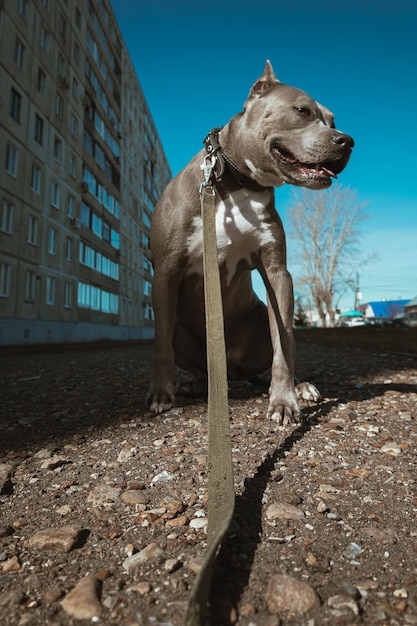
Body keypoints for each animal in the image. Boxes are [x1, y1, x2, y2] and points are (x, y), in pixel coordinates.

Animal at [145, 61, 352, 422]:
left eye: (333, 121)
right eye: (302, 110)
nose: (348, 141)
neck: (236, 184)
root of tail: (233, 372)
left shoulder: (277, 273)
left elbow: (283, 346)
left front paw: (284, 400)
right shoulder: (166, 271)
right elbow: (160, 345)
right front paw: (161, 394)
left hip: (262, 317)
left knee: (283, 348)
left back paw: (301, 386)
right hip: (183, 337)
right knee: (197, 364)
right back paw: (194, 385)